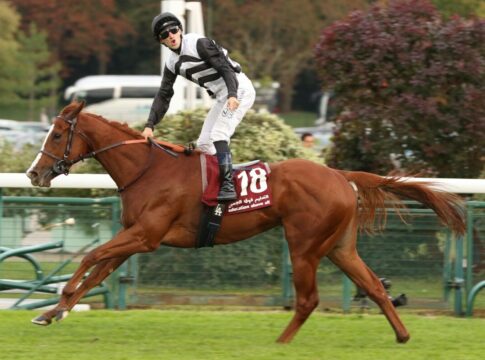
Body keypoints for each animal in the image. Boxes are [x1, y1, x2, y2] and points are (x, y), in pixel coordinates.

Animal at [26, 100, 466, 344]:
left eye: (56, 135)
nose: (33, 174)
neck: (147, 169)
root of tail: (341, 175)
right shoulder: (133, 236)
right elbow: (99, 271)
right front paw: (53, 312)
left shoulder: (145, 236)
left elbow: (89, 259)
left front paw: (59, 300)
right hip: (340, 246)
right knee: (374, 286)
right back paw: (402, 334)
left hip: (304, 245)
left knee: (308, 299)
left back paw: (280, 343)